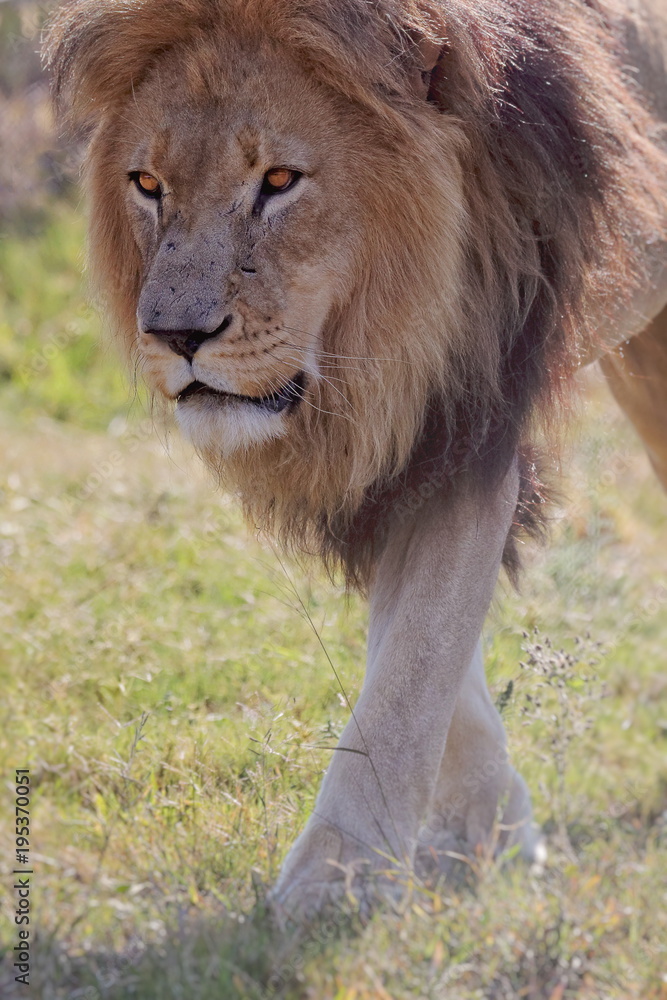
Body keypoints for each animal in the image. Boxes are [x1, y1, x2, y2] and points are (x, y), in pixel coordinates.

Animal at [44, 0, 667, 917]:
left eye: (278, 180)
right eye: (148, 186)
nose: (175, 336)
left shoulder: (468, 417)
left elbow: (415, 657)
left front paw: (336, 880)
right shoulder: (384, 455)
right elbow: (423, 649)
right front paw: (486, 833)